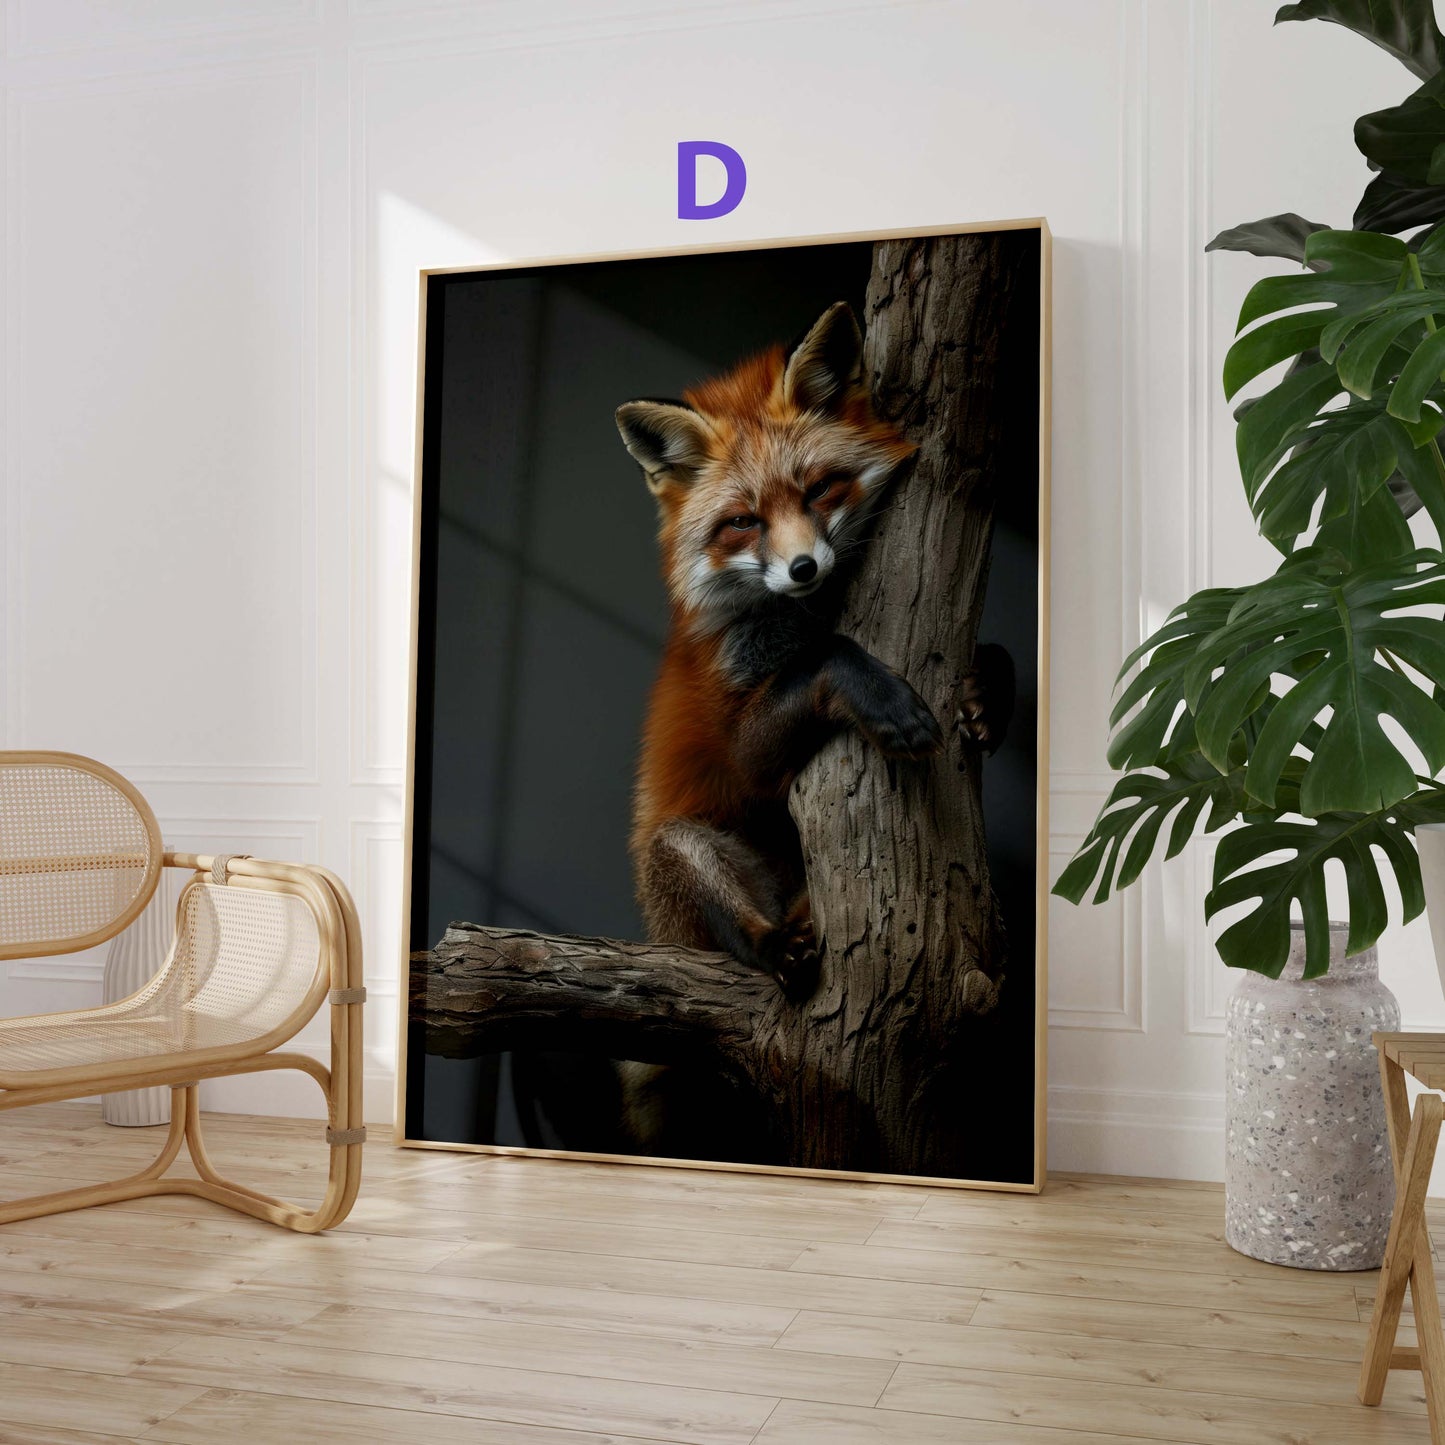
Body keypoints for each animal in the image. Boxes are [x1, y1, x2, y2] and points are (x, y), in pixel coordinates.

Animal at [616, 300, 990, 999]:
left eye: (818, 490)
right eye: (743, 522)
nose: (802, 569)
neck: (806, 615)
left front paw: (986, 696)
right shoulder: (740, 739)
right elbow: (826, 658)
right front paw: (887, 704)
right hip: (677, 849)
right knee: (752, 937)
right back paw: (781, 950)